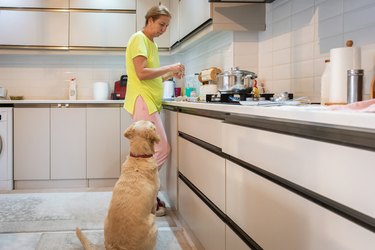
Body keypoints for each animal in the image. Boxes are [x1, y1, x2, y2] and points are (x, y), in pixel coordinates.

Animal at [77, 120, 161, 249]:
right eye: (152, 126)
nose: (153, 120)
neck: (139, 157)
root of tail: (117, 247)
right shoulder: (154, 201)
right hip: (153, 224)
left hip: (105, 221)